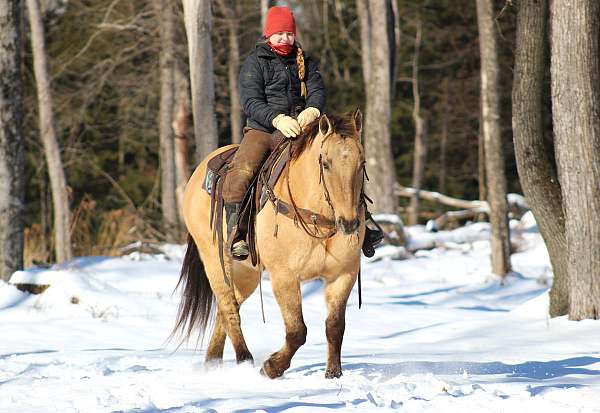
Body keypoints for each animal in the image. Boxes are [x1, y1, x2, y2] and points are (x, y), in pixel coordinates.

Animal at [172, 108, 366, 376]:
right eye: (325, 164)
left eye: (362, 163)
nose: (349, 223)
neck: (317, 215)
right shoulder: (284, 277)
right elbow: (297, 331)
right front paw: (272, 367)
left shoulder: (343, 274)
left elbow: (335, 326)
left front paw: (333, 373)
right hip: (215, 261)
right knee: (229, 308)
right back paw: (244, 360)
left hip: (247, 273)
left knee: (227, 307)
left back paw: (213, 362)